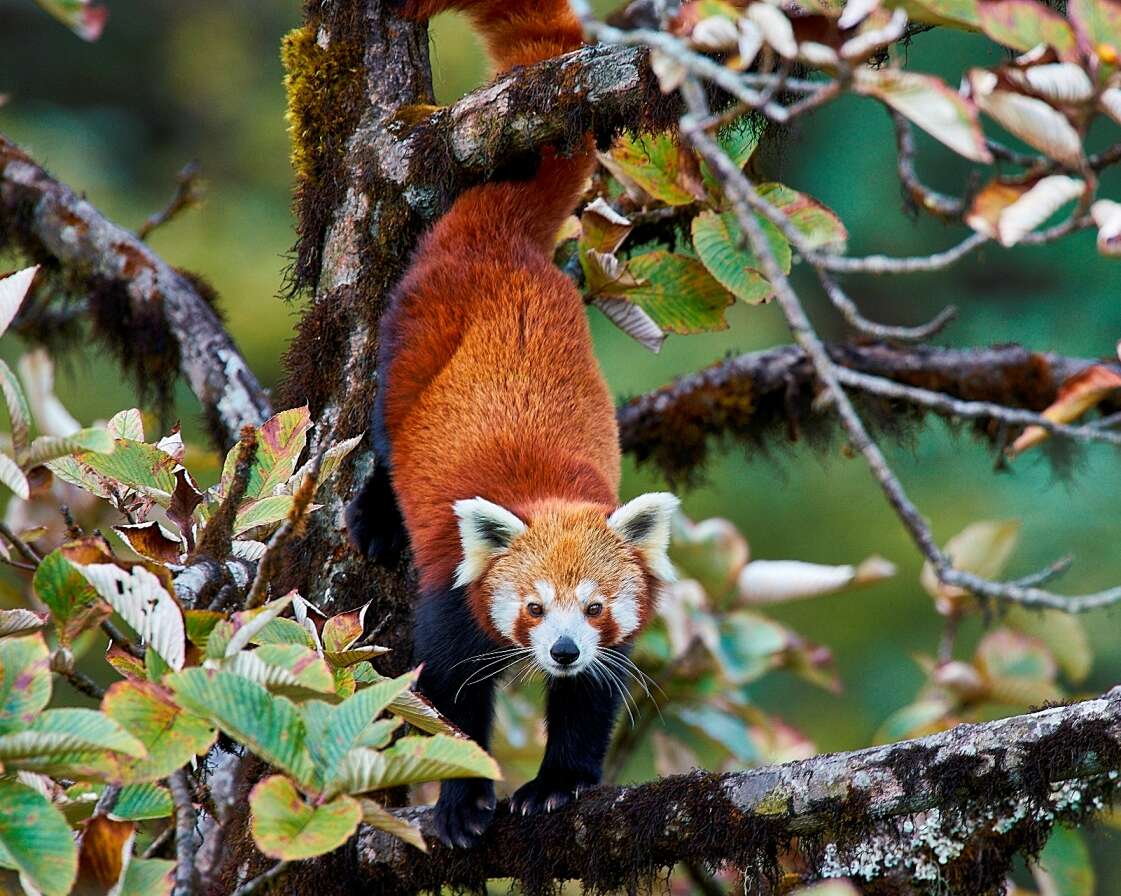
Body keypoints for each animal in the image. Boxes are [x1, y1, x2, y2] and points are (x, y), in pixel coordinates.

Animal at [340, 0, 677, 847]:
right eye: (531, 607)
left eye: (592, 608)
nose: (559, 650)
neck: (544, 491)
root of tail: (504, 240)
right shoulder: (452, 594)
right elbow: (450, 698)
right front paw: (462, 802)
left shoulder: (608, 643)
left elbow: (592, 698)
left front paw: (555, 785)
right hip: (414, 332)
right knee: (385, 430)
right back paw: (376, 514)